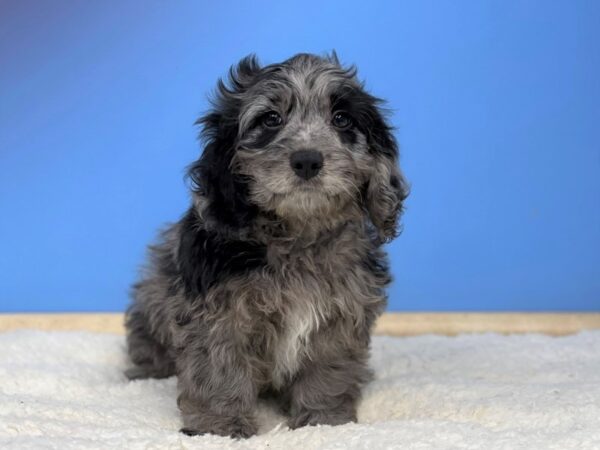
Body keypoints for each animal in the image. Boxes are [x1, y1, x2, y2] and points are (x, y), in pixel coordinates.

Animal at [125, 51, 410, 436]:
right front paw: (220, 426)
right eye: (271, 119)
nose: (307, 160)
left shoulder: (341, 313)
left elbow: (328, 368)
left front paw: (324, 419)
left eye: (341, 119)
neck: (298, 235)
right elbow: (218, 369)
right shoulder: (218, 314)